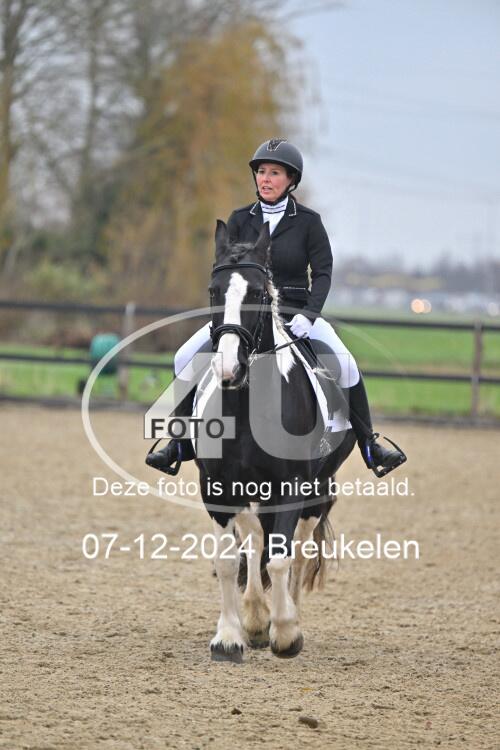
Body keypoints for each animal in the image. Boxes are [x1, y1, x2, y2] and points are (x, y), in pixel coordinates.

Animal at [193, 219, 356, 662]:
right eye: (213, 291)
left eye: (257, 294)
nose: (229, 369)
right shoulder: (217, 488)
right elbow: (229, 560)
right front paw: (230, 636)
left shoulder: (290, 487)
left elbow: (281, 560)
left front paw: (285, 633)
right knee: (253, 540)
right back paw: (254, 619)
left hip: (317, 492)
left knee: (296, 551)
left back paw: (287, 619)